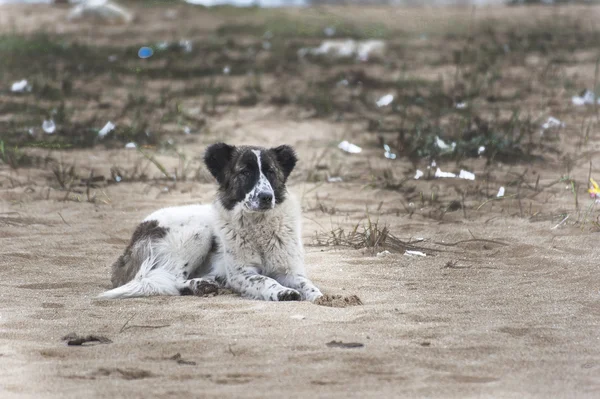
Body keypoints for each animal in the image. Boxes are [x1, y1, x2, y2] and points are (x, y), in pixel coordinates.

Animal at [98, 144, 324, 304]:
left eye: (271, 172)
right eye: (245, 172)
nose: (266, 197)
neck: (259, 226)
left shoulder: (289, 271)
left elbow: (307, 284)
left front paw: (320, 297)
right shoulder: (241, 273)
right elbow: (266, 279)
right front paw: (283, 291)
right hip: (198, 232)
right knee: (170, 277)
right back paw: (199, 285)